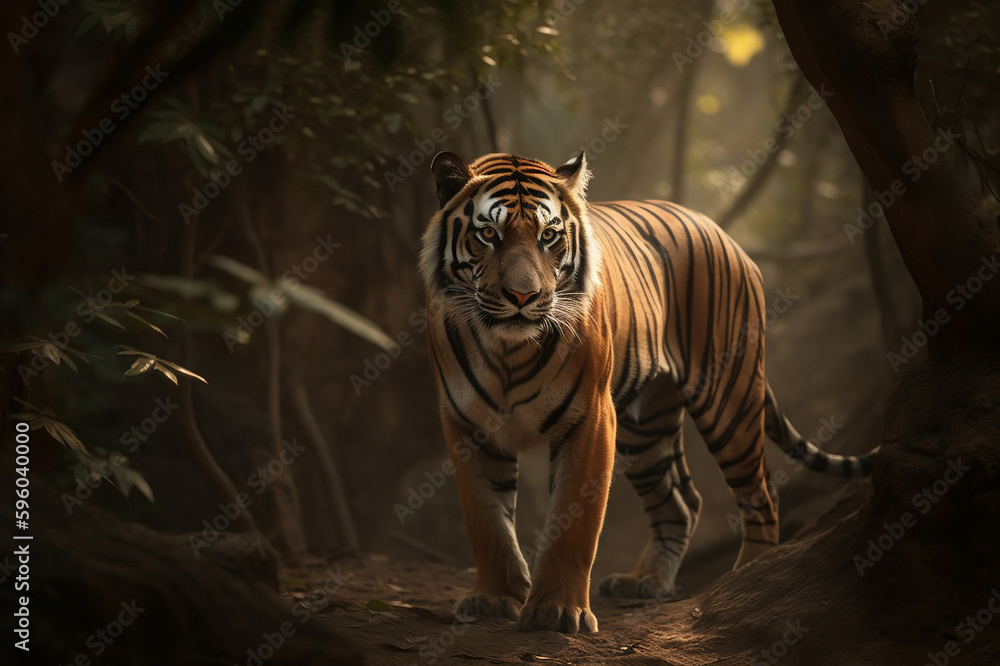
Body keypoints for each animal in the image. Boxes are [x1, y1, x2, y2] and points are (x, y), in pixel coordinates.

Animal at [418, 150, 877, 634]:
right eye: (488, 233)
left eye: (549, 236)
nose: (524, 297)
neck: (509, 349)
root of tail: (722, 232)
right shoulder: (467, 424)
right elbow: (486, 520)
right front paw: (495, 599)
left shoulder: (590, 417)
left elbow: (573, 522)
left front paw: (557, 611)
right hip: (646, 426)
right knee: (681, 501)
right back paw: (647, 582)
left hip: (728, 399)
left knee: (762, 492)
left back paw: (749, 577)